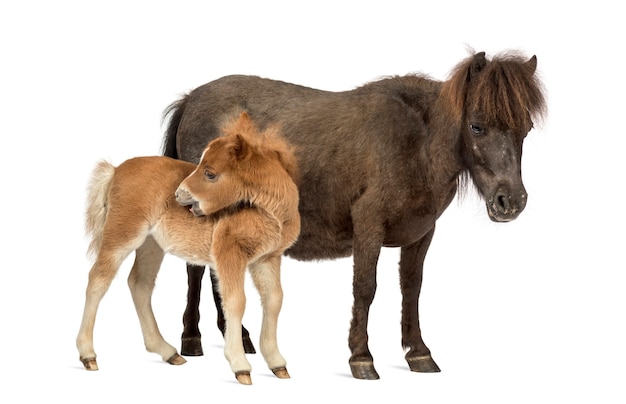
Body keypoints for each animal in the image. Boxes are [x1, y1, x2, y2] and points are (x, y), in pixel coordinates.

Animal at [75, 112, 300, 384]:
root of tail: (116, 171)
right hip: (123, 232)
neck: (268, 213)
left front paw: (278, 364)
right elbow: (235, 301)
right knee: (98, 279)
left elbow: (274, 300)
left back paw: (168, 352)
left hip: (151, 244)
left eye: (210, 174)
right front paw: (240, 366)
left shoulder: (267, 258)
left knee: (140, 283)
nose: (179, 194)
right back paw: (88, 355)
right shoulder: (229, 255)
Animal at [161, 49, 544, 378]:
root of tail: (191, 98)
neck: (416, 144)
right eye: (477, 125)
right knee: (196, 272)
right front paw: (361, 357)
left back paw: (237, 336)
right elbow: (365, 288)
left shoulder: (421, 233)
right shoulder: (368, 226)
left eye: (526, 128)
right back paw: (191, 339)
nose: (511, 200)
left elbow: (412, 287)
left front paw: (418, 352)